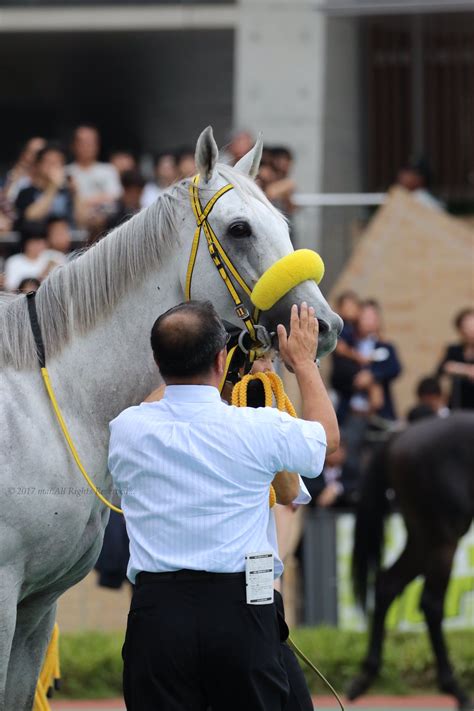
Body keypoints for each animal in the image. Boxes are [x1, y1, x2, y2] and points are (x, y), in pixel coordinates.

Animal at [0, 125, 340, 708]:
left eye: (282, 222)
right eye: (240, 228)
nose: (325, 325)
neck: (49, 402)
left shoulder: (35, 608)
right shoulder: (4, 597)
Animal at [348, 414, 474, 708]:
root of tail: (398, 436)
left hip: (422, 535)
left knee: (388, 584)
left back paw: (366, 675)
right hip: (442, 535)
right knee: (431, 602)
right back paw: (454, 687)